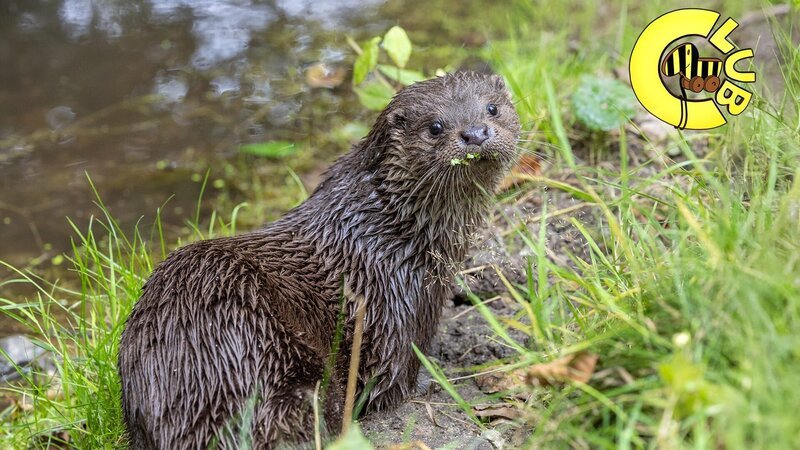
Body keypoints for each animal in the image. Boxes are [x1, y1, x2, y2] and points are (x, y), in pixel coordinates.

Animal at [118, 71, 521, 449]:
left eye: (491, 108)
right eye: (435, 127)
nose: (475, 133)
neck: (387, 231)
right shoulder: (386, 309)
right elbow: (386, 382)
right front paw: (427, 382)